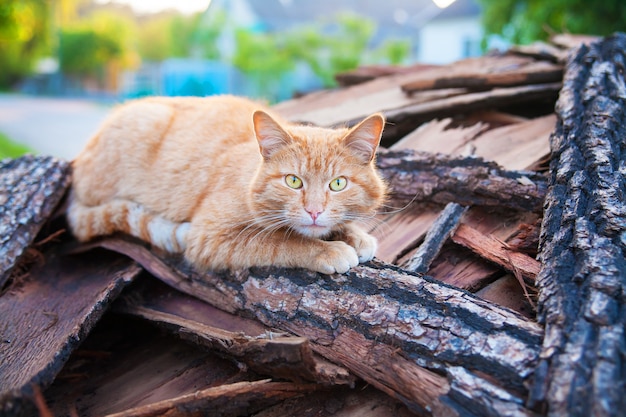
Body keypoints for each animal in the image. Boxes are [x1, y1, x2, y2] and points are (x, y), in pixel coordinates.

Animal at [69, 96, 390, 274]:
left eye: (338, 183)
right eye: (293, 181)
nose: (314, 212)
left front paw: (357, 235)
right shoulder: (209, 238)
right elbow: (282, 242)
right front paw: (327, 250)